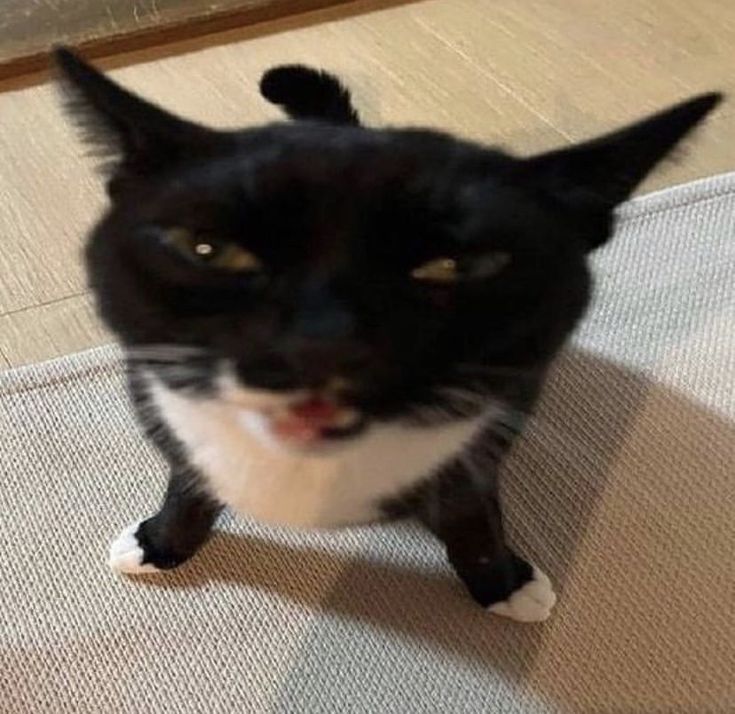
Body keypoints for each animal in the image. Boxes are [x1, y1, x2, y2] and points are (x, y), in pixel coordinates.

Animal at [54, 47, 720, 620]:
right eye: (208, 250)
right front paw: (162, 541)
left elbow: (471, 517)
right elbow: (188, 484)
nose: (320, 344)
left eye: (455, 265)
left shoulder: (472, 454)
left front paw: (503, 583)